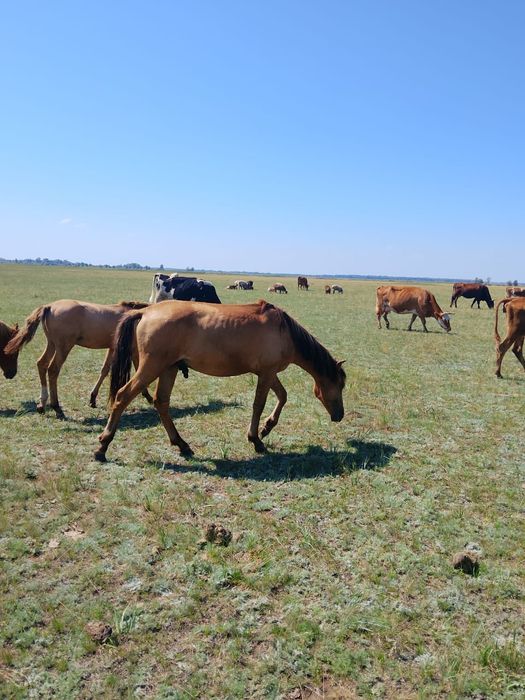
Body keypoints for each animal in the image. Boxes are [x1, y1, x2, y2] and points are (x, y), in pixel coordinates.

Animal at [5, 300, 152, 417]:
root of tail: (49, 306)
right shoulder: (133, 350)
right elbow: (139, 371)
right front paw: (148, 396)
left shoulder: (112, 349)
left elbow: (104, 370)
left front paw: (93, 398)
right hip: (63, 347)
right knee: (53, 370)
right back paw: (56, 407)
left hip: (52, 344)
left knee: (42, 364)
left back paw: (42, 404)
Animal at [94, 300, 346, 462]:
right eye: (340, 385)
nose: (340, 415)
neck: (284, 331)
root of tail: (145, 313)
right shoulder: (266, 373)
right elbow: (259, 404)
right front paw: (256, 439)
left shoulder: (269, 373)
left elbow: (282, 396)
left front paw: (267, 427)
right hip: (152, 367)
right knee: (123, 396)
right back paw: (103, 446)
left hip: (168, 369)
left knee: (161, 403)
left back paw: (182, 445)